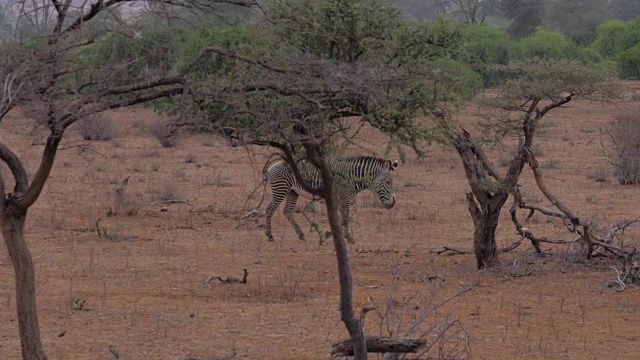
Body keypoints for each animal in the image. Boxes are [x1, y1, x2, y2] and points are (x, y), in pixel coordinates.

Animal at [262, 155, 398, 242]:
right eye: (387, 182)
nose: (391, 204)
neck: (352, 177)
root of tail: (271, 167)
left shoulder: (339, 199)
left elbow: (340, 218)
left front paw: (336, 234)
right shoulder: (344, 196)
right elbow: (345, 217)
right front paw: (348, 237)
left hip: (292, 192)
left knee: (287, 211)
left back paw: (300, 234)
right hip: (281, 189)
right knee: (269, 209)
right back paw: (270, 236)